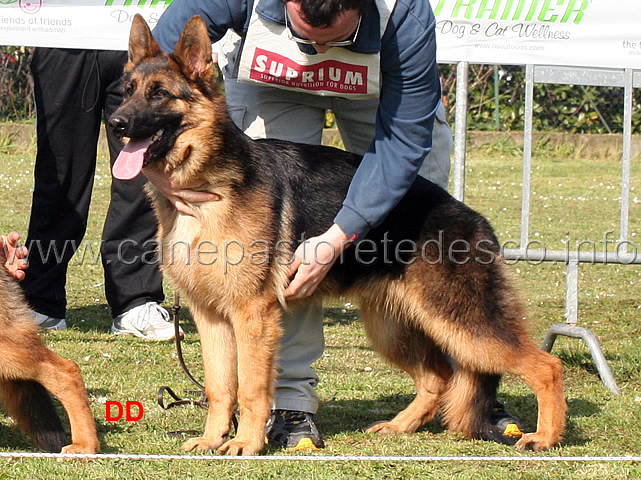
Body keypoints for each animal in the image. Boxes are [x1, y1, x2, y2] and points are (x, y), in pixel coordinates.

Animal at [110, 15, 564, 456]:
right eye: (127, 91)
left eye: (159, 94)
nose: (115, 124)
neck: (207, 185)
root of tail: (470, 216)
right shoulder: (211, 318)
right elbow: (220, 387)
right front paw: (211, 439)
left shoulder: (252, 317)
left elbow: (252, 389)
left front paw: (245, 443)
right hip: (392, 329)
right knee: (438, 376)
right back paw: (399, 426)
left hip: (464, 324)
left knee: (545, 365)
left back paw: (544, 437)